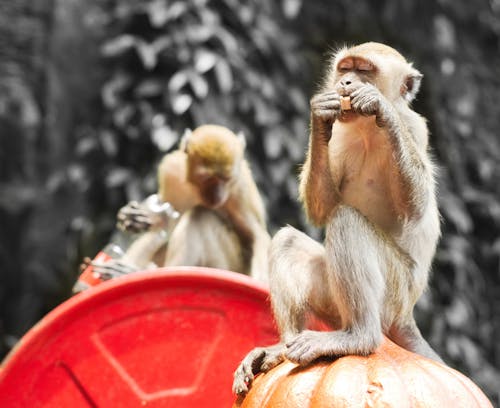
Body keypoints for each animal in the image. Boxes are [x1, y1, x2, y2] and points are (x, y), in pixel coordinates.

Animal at [233, 42, 442, 396]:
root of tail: (405, 315)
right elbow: (322, 207)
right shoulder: (342, 135)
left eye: (365, 70)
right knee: (290, 240)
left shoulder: (415, 129)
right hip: (333, 300)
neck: (369, 130)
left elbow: (415, 210)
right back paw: (281, 349)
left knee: (348, 222)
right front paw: (319, 116)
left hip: (394, 293)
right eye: (346, 68)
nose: (345, 82)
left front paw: (380, 105)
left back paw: (359, 338)